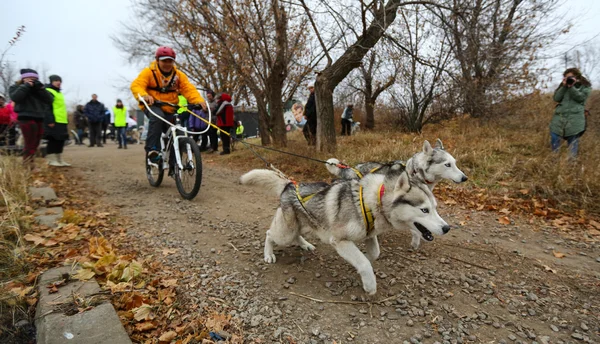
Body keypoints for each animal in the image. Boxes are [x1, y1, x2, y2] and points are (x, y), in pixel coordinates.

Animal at [240, 168, 450, 294]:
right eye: (424, 210)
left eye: (435, 208)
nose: (446, 228)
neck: (373, 202)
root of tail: (289, 185)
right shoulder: (339, 241)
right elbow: (364, 263)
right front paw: (369, 284)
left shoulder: (370, 235)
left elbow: (373, 254)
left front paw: (364, 260)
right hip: (285, 233)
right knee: (269, 235)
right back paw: (268, 254)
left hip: (305, 225)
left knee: (297, 235)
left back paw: (305, 244)